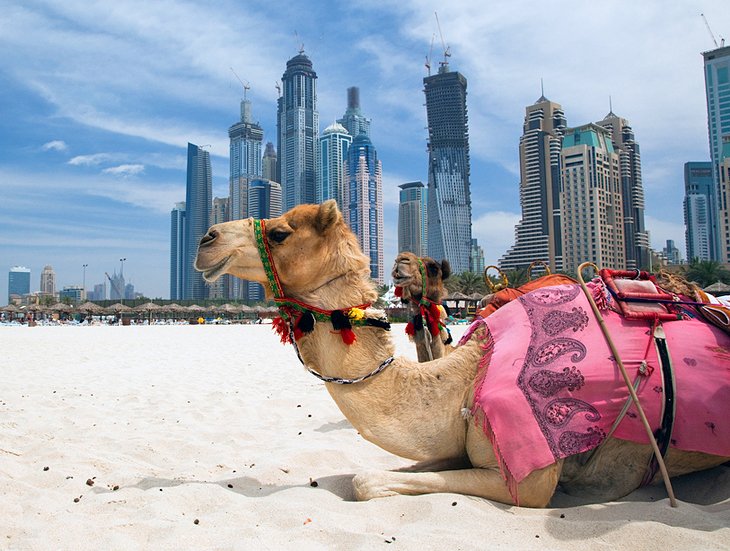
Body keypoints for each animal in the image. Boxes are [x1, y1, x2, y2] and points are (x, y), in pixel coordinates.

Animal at [193, 199, 728, 508]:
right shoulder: (451, 445)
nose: (205, 238)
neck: (466, 378)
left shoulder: (531, 480)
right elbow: (369, 477)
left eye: (281, 232)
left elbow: (366, 482)